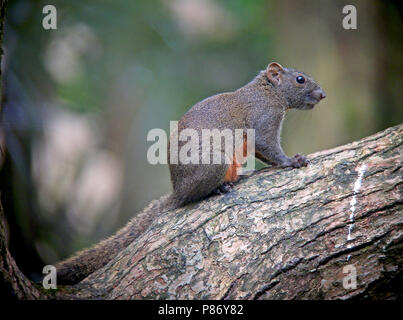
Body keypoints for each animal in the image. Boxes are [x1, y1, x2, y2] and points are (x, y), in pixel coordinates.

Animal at [55, 61, 326, 284]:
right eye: (300, 79)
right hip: (214, 164)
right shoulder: (264, 117)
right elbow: (268, 146)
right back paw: (218, 188)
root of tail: (178, 190)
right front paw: (291, 161)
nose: (323, 95)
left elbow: (262, 153)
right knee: (195, 195)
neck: (268, 91)